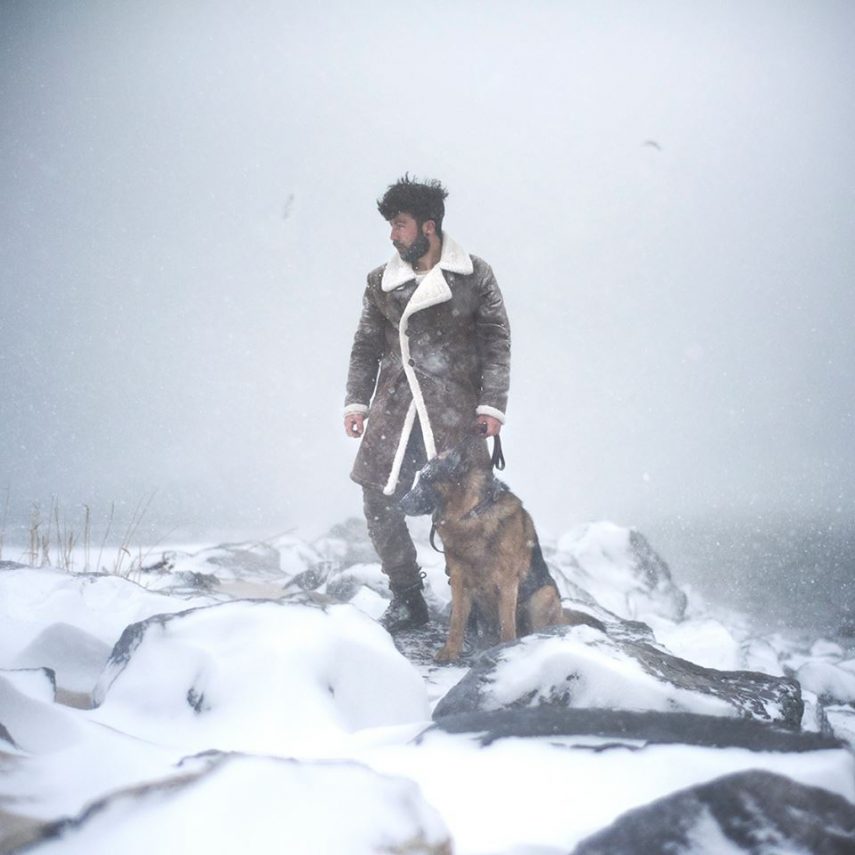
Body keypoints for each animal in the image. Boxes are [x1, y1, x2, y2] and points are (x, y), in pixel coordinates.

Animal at [400, 438, 600, 664]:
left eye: (426, 479)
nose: (400, 504)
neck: (470, 514)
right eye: (419, 479)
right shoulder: (459, 581)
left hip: (543, 595)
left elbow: (507, 624)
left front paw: (506, 650)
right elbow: (457, 621)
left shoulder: (507, 583)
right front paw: (450, 651)